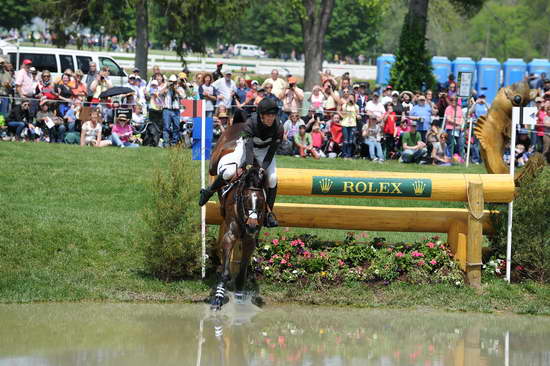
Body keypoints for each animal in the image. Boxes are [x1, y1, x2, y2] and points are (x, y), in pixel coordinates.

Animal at [211, 166, 270, 312]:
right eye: (245, 198)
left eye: (261, 201)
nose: (252, 226)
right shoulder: (230, 236)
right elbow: (226, 272)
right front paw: (217, 299)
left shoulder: (250, 240)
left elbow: (242, 274)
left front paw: (239, 299)